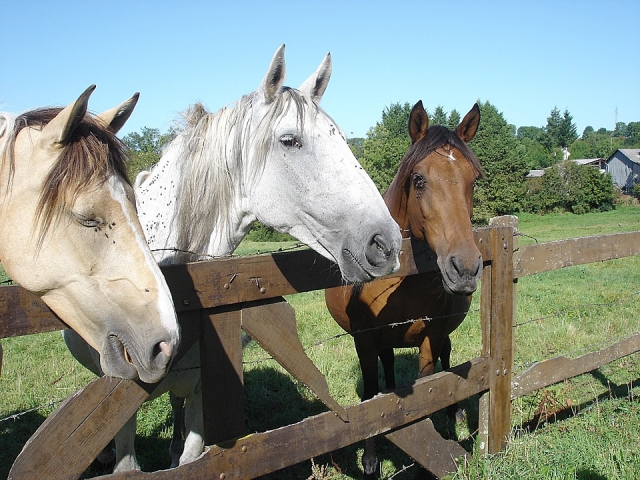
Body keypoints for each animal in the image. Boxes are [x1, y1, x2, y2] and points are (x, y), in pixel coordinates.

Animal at [64, 45, 403, 472]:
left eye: (342, 138)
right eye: (289, 140)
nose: (387, 244)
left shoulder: (201, 393)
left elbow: (191, 456)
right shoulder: (119, 401)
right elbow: (126, 464)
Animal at [325, 100, 484, 479]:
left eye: (473, 179)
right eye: (419, 179)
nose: (465, 268)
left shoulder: (432, 334)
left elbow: (428, 386)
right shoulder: (365, 338)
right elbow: (370, 393)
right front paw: (370, 460)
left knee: (447, 356)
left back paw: (453, 412)